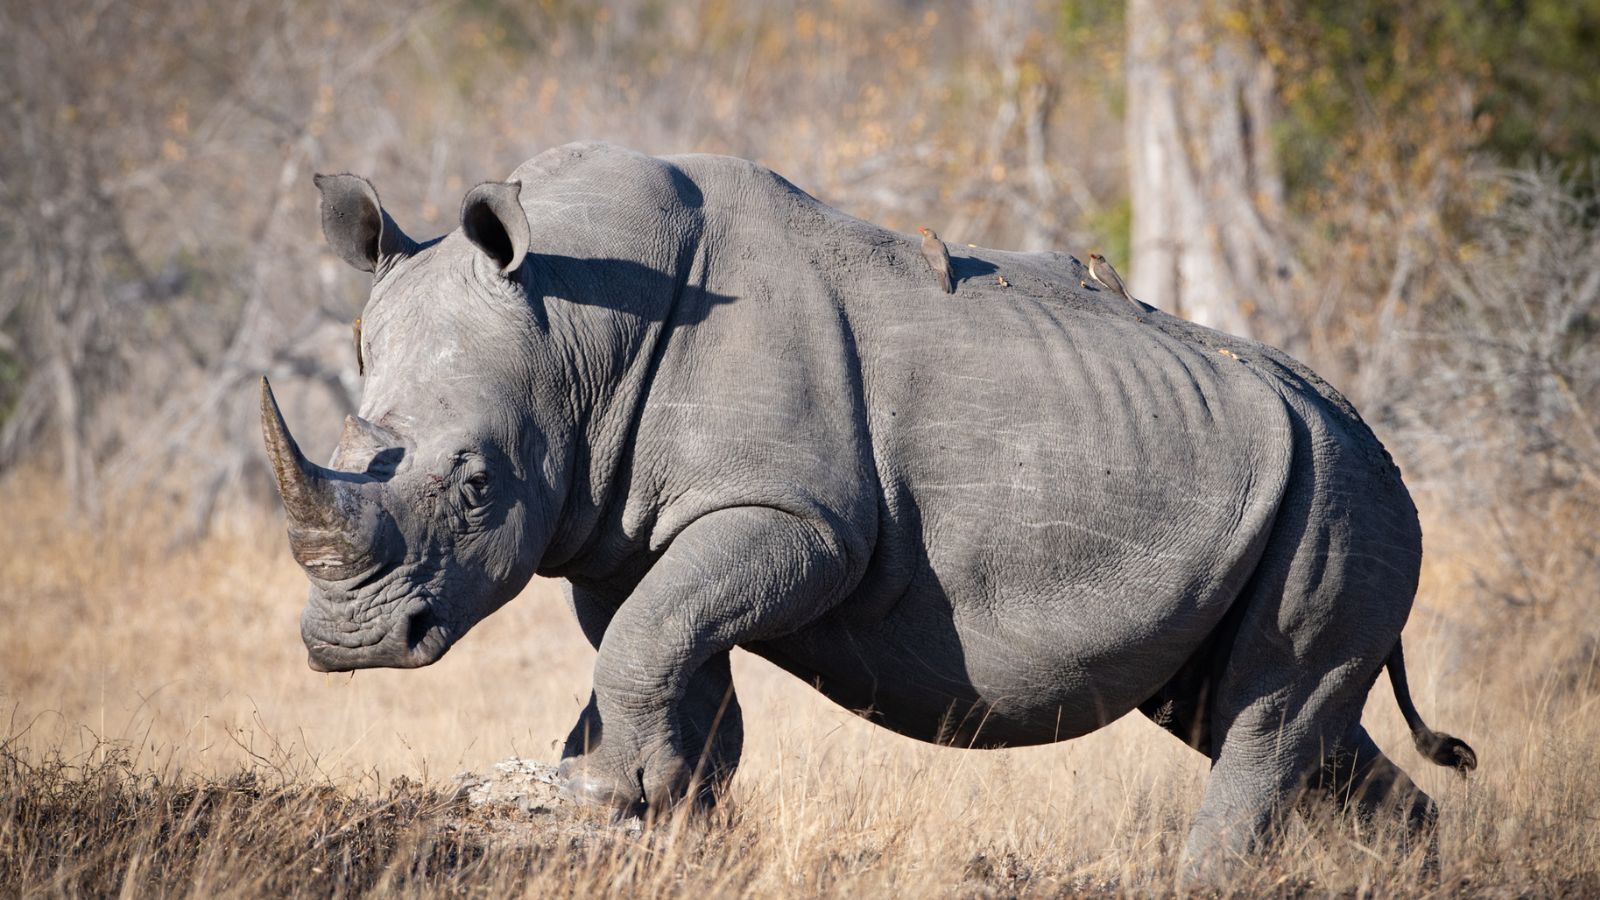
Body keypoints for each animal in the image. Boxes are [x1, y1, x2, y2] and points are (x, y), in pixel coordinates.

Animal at [260, 141, 1475, 878]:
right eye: (350, 444)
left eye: (474, 486)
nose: (354, 645)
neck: (574, 328)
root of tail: (1371, 434)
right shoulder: (620, 530)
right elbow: (665, 653)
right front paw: (667, 810)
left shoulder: (800, 518)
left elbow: (654, 640)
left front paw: (599, 794)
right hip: (1298, 490)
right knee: (1253, 713)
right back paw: (1421, 868)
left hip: (1347, 495)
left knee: (1267, 717)